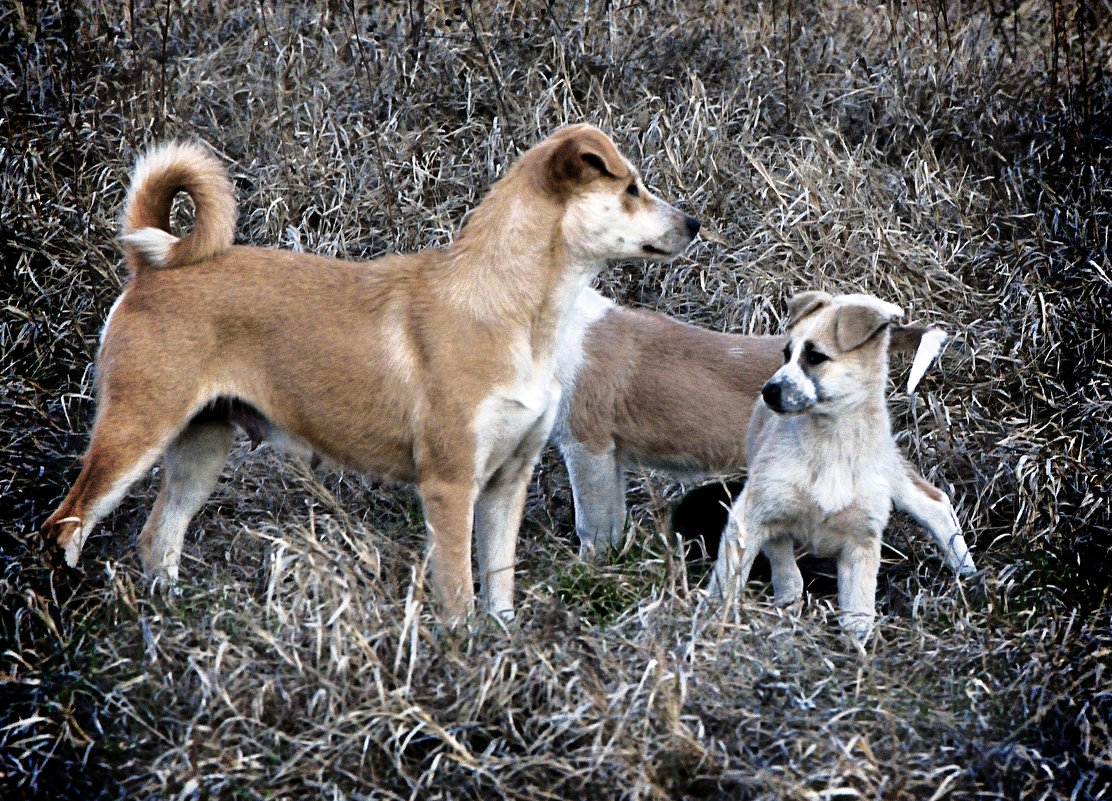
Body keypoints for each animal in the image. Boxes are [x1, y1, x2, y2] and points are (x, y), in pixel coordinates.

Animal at [45, 126, 702, 627]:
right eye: (631, 188)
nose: (694, 223)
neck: (511, 313)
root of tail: (151, 268)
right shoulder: (449, 485)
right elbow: (459, 593)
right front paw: (464, 657)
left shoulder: (505, 484)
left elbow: (499, 589)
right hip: (134, 435)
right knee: (66, 528)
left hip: (200, 451)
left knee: (158, 540)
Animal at [553, 287, 974, 582]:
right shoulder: (607, 457)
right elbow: (612, 518)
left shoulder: (586, 446)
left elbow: (592, 523)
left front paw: (590, 570)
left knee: (933, 501)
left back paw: (965, 573)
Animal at [711, 291, 974, 640]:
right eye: (787, 354)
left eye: (815, 357)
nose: (768, 391)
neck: (831, 443)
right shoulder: (750, 515)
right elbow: (729, 579)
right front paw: (711, 621)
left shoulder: (862, 541)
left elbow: (858, 607)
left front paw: (858, 646)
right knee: (782, 555)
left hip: (890, 470)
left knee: (934, 502)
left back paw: (967, 571)